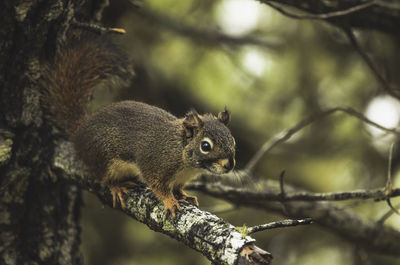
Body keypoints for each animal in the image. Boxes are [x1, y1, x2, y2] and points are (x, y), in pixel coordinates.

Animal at [42, 28, 236, 217]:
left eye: (233, 141)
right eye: (205, 146)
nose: (229, 165)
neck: (182, 155)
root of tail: (80, 131)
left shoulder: (181, 178)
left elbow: (179, 187)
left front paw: (185, 195)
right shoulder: (154, 164)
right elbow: (158, 186)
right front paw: (170, 201)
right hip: (102, 155)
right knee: (103, 178)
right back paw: (117, 186)